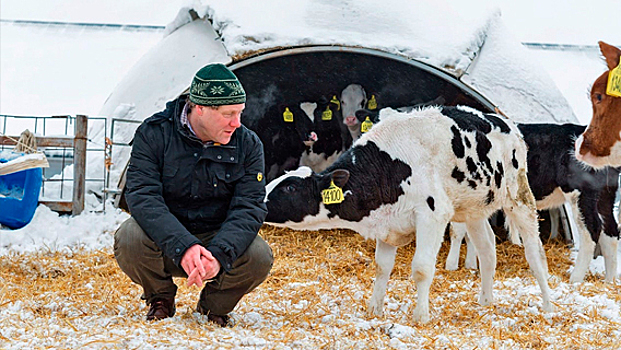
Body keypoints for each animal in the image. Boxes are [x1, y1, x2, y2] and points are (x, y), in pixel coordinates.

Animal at [266, 104, 552, 322]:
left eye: (290, 187)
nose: (261, 200)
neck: (388, 168)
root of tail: (504, 120)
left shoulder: (432, 215)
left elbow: (422, 268)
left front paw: (421, 316)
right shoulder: (387, 224)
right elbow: (382, 268)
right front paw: (375, 309)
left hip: (518, 195)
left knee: (535, 252)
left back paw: (548, 307)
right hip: (473, 209)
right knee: (487, 250)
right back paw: (485, 301)